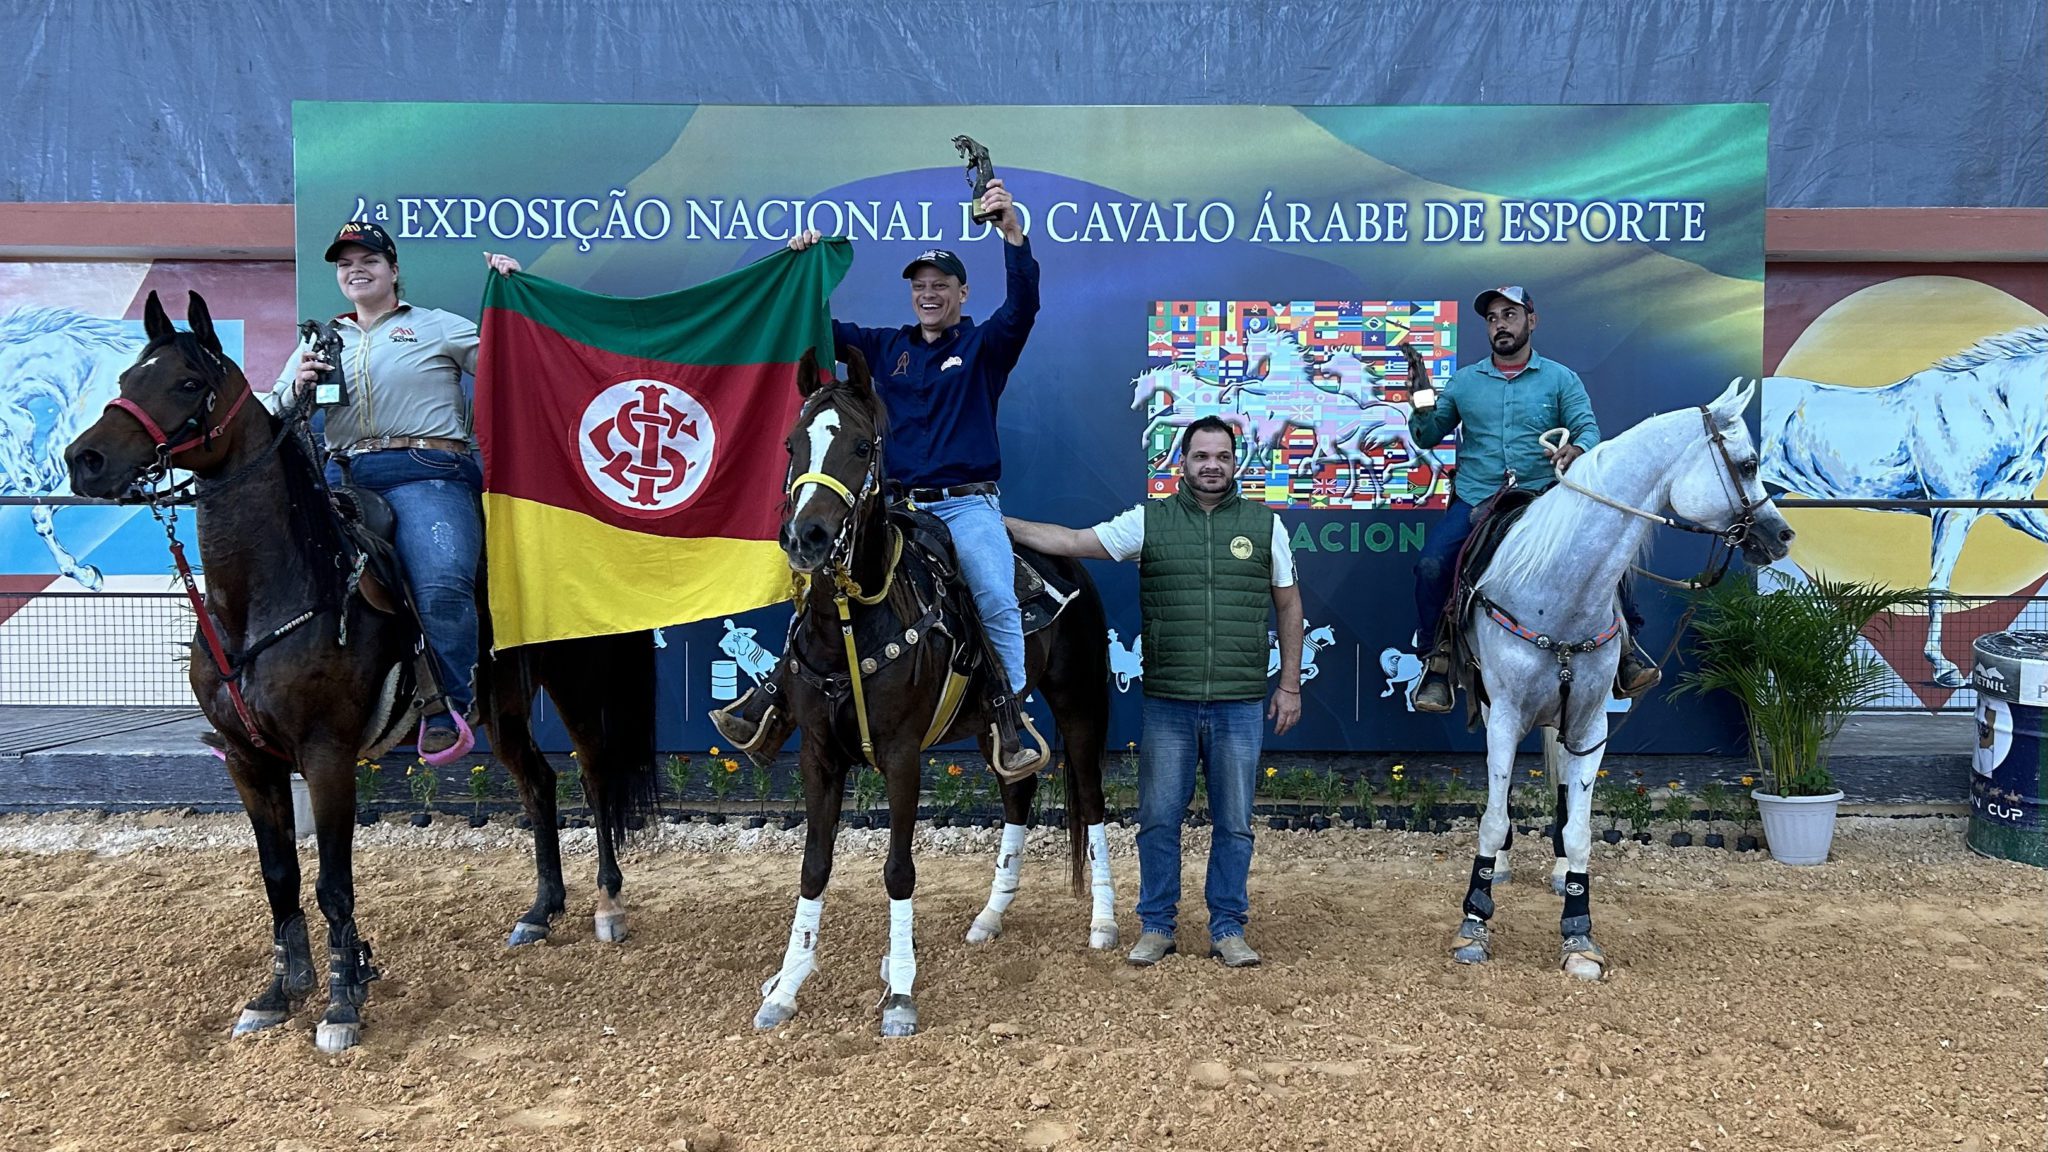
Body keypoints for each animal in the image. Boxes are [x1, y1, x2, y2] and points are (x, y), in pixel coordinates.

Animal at [61, 293, 655, 1049]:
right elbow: (279, 877)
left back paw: (608, 905)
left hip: (574, 679)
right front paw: (278, 992)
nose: (85, 459)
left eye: (188, 383)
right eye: (129, 374)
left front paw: (344, 1000)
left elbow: (331, 884)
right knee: (539, 783)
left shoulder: (328, 756)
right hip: (501, 701)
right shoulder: (247, 760)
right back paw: (540, 910)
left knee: (597, 773)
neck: (267, 598)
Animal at [753, 344, 1114, 1037]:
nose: (806, 538)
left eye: (861, 446)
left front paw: (899, 993)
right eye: (790, 443)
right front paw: (786, 985)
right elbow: (813, 866)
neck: (851, 621)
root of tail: (1067, 562)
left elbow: (898, 870)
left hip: (1081, 705)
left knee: (1091, 801)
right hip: (997, 723)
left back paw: (1105, 922)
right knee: (1018, 786)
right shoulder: (817, 754)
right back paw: (991, 916)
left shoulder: (900, 755)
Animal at [1441, 381, 1794, 971]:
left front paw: (1579, 934)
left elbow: (1582, 828)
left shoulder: (1591, 725)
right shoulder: (1505, 715)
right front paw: (1474, 921)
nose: (1782, 535)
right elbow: (1491, 817)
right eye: (1748, 464)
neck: (1557, 590)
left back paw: (1559, 867)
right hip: (1493, 708)